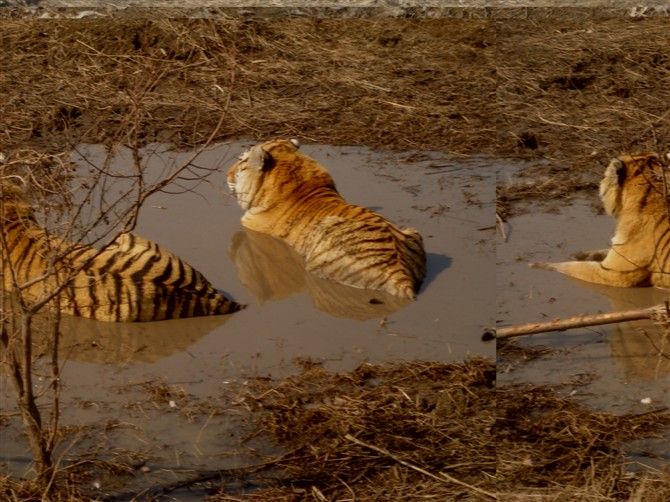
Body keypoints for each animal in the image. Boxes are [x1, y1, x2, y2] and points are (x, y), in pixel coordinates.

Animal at [532, 151, 670, 288]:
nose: (601, 180)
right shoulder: (616, 249)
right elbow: (601, 251)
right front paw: (578, 254)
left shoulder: (613, 273)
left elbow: (571, 267)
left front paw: (538, 265)